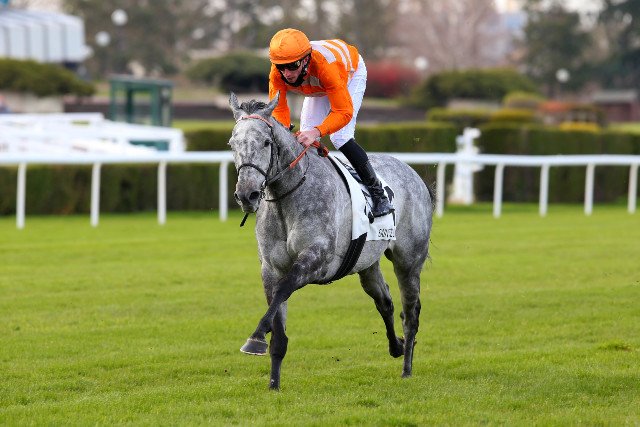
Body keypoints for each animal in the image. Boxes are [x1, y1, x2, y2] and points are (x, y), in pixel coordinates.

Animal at [228, 92, 433, 390]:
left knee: (411, 313)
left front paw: (255, 339)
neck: (288, 196)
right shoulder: (271, 268)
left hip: (408, 262)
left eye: (266, 142)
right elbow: (277, 316)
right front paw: (274, 383)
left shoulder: (317, 259)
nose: (247, 194)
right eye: (232, 144)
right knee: (385, 302)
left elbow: (284, 290)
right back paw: (397, 345)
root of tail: (413, 172)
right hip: (367, 264)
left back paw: (406, 367)